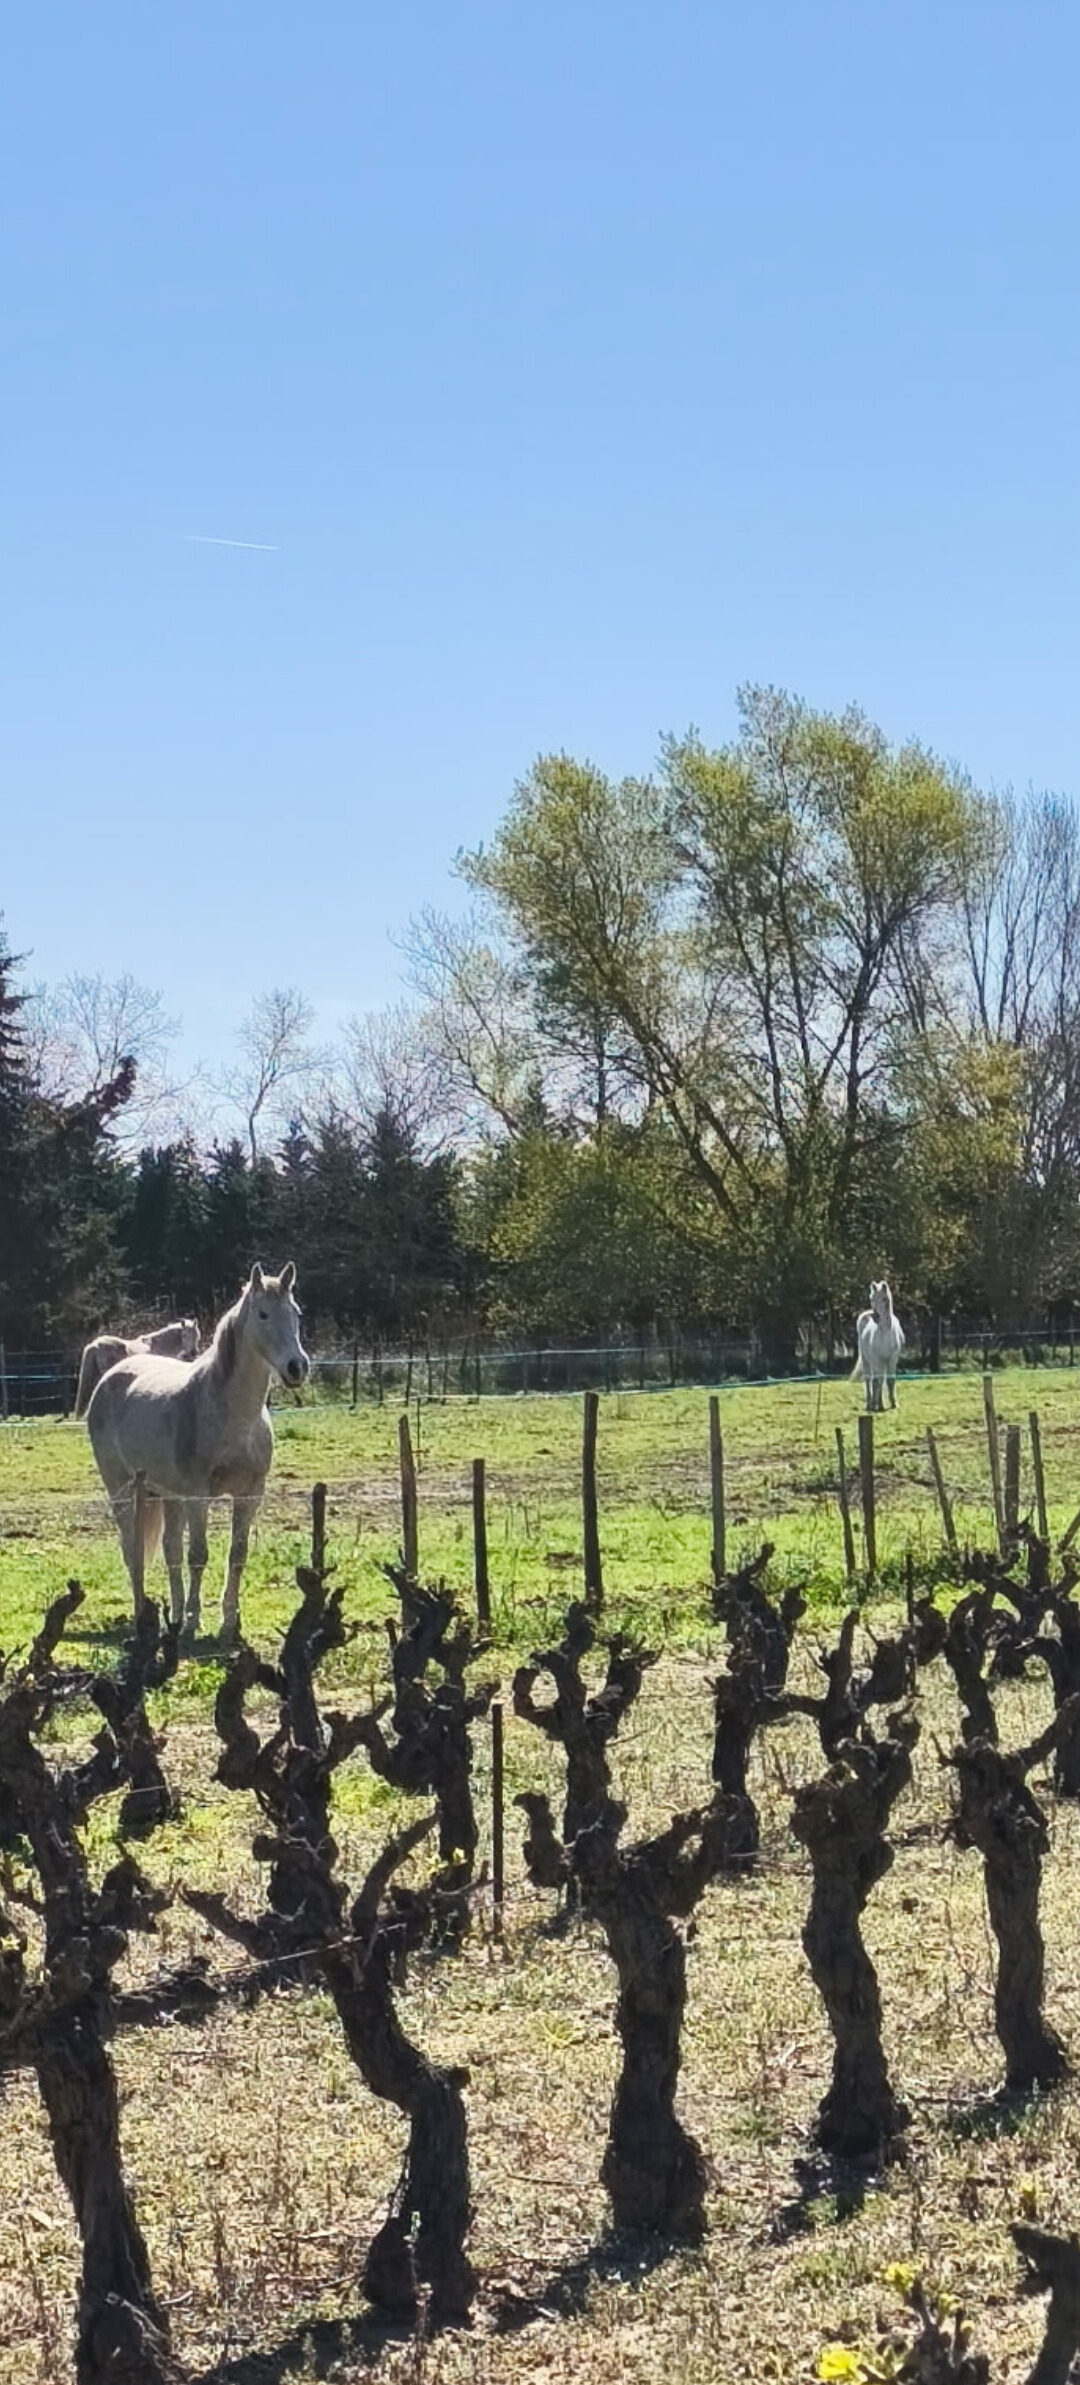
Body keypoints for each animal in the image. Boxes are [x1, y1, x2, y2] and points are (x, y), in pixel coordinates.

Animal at [85, 1263, 309, 1641]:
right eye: (263, 1314)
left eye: (295, 1313)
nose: (297, 1367)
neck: (233, 1415)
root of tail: (112, 1374)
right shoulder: (197, 1495)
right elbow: (199, 1555)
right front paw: (193, 1621)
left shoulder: (249, 1494)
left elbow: (236, 1554)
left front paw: (229, 1623)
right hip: (122, 1489)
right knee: (133, 1550)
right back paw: (144, 1615)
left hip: (167, 1495)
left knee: (169, 1549)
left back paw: (172, 1616)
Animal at [852, 1280, 905, 1412]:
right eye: (872, 1298)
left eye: (884, 1298)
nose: (875, 1317)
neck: (885, 1333)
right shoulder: (878, 1359)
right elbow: (879, 1381)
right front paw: (880, 1404)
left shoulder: (892, 1358)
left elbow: (890, 1380)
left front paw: (893, 1403)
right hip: (867, 1360)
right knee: (870, 1379)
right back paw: (870, 1403)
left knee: (877, 1380)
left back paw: (874, 1402)